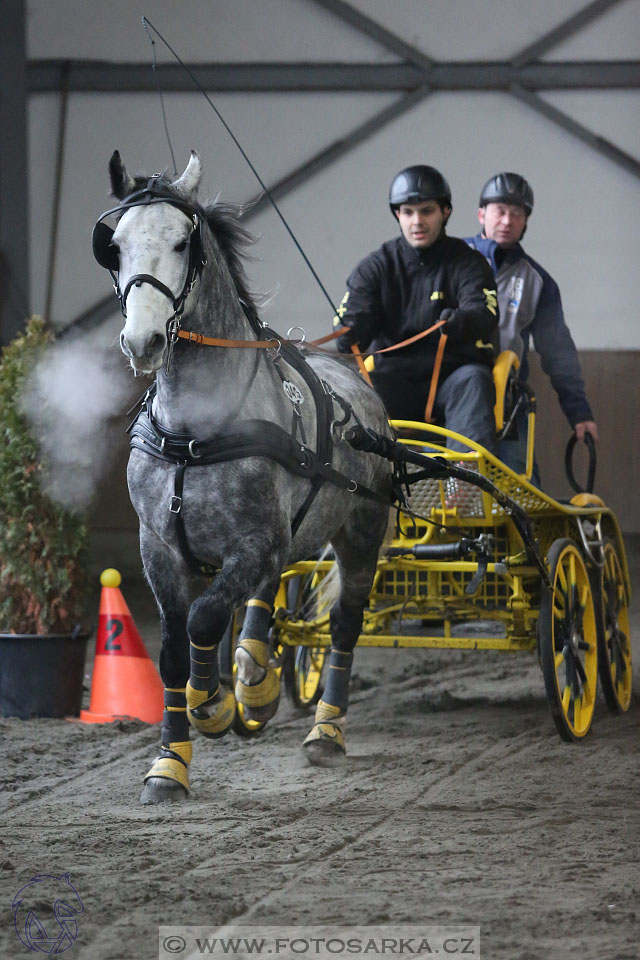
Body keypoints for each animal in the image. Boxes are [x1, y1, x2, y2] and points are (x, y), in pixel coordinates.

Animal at [90, 152, 390, 804]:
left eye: (182, 242)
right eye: (114, 245)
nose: (141, 341)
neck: (192, 434)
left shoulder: (255, 541)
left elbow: (204, 619)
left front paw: (214, 706)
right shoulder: (159, 549)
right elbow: (173, 651)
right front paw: (170, 764)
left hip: (362, 530)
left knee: (344, 624)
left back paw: (325, 730)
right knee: (263, 599)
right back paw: (256, 680)